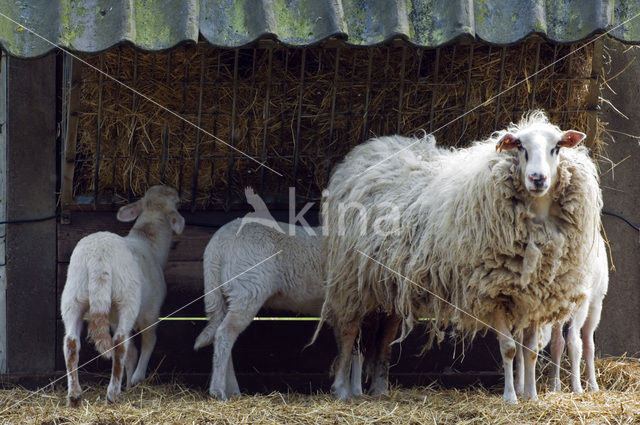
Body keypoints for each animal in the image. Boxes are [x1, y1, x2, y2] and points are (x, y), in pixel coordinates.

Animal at [59, 185, 184, 404]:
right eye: (177, 203)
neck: (149, 240)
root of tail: (99, 257)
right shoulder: (151, 312)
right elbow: (148, 342)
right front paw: (136, 378)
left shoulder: (113, 317)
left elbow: (133, 351)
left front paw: (130, 380)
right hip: (127, 298)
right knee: (119, 343)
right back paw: (113, 393)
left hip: (73, 294)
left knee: (71, 342)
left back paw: (74, 394)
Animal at [192, 217, 362, 400]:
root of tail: (217, 245)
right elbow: (352, 348)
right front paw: (347, 391)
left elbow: (351, 349)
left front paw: (352, 390)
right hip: (247, 289)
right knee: (225, 333)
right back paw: (219, 391)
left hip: (222, 294)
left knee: (221, 333)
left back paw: (231, 390)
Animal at [318, 109, 604, 400]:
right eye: (520, 147)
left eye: (556, 147)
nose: (538, 178)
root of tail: (370, 148)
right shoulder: (492, 291)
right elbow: (509, 348)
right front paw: (510, 397)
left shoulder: (535, 295)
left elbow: (531, 352)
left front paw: (531, 396)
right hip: (350, 277)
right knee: (348, 331)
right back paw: (341, 389)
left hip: (389, 281)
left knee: (385, 335)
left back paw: (379, 388)